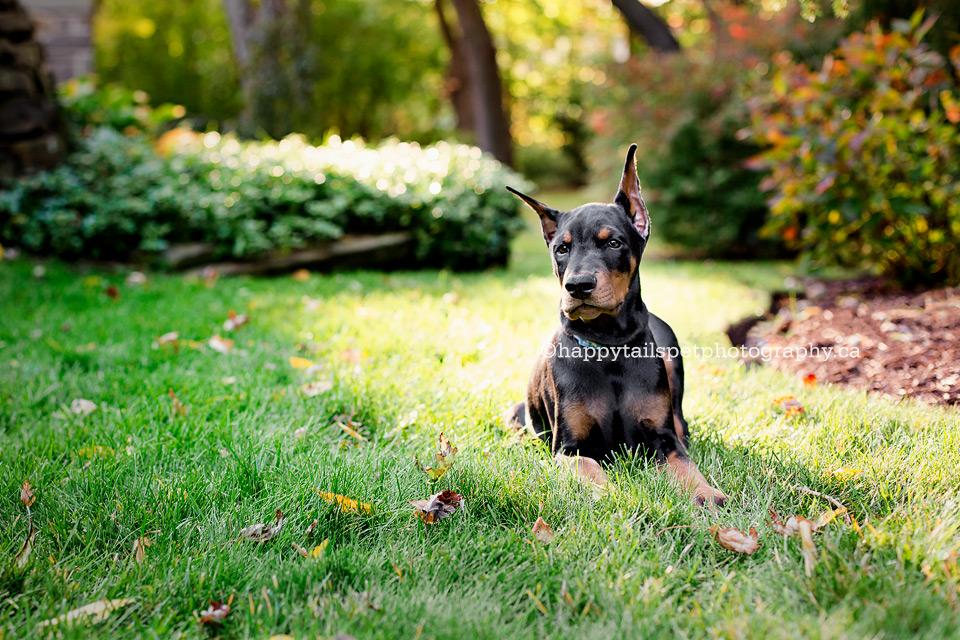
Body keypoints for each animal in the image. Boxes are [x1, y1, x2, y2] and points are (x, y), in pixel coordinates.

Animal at [502, 144, 728, 504]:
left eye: (613, 243)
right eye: (561, 248)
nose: (578, 286)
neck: (609, 347)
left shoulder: (662, 439)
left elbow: (685, 465)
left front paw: (706, 495)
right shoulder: (570, 448)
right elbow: (591, 473)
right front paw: (611, 497)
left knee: (681, 424)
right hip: (516, 413)